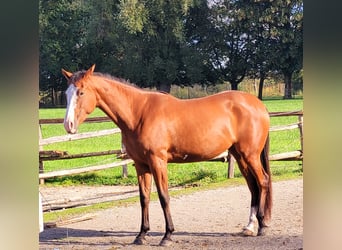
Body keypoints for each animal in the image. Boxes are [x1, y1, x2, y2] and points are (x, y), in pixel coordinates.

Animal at [62, 64, 272, 246]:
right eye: (66, 94)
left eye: (81, 92)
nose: (68, 125)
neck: (139, 113)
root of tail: (258, 105)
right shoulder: (141, 165)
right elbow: (144, 198)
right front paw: (141, 235)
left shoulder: (158, 162)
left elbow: (164, 196)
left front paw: (167, 235)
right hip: (240, 155)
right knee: (253, 186)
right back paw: (250, 227)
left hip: (250, 155)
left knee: (262, 182)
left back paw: (262, 226)